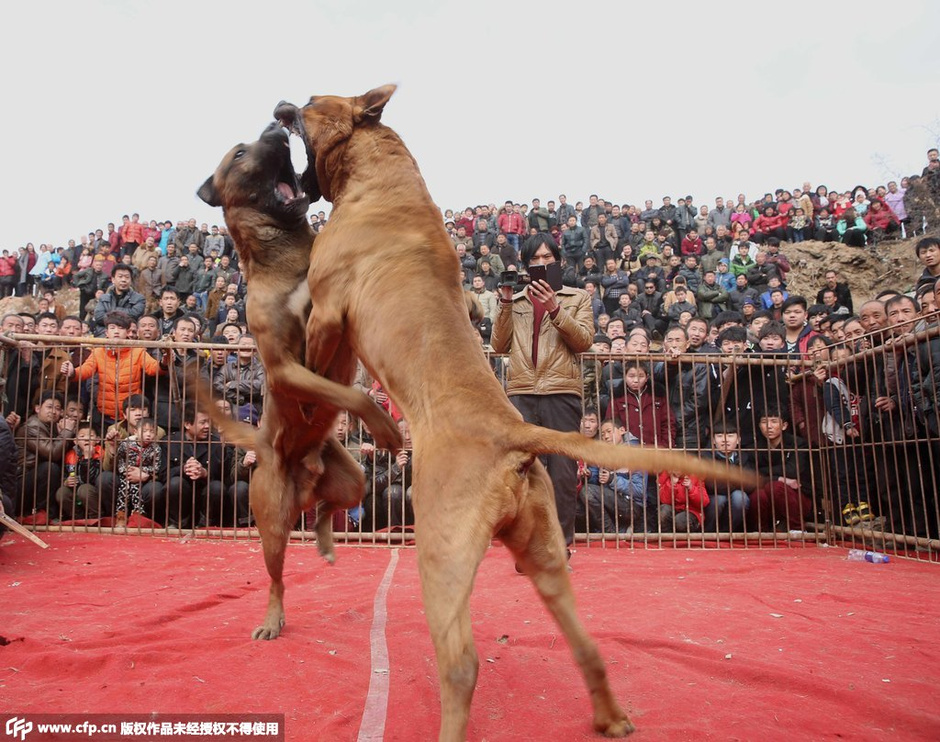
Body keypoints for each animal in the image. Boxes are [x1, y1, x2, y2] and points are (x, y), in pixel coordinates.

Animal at [196, 122, 402, 640]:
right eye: (241, 152)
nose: (275, 125)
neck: (287, 255)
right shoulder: (287, 367)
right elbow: (351, 392)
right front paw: (385, 427)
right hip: (271, 521)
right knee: (277, 576)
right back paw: (273, 618)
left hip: (353, 479)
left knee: (330, 508)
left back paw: (327, 541)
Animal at [276, 85, 760, 740]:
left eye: (310, 102)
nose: (281, 106)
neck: (378, 175)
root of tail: (513, 431)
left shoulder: (328, 312)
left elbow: (310, 366)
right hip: (543, 554)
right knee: (586, 643)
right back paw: (610, 717)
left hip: (441, 548)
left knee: (461, 663)